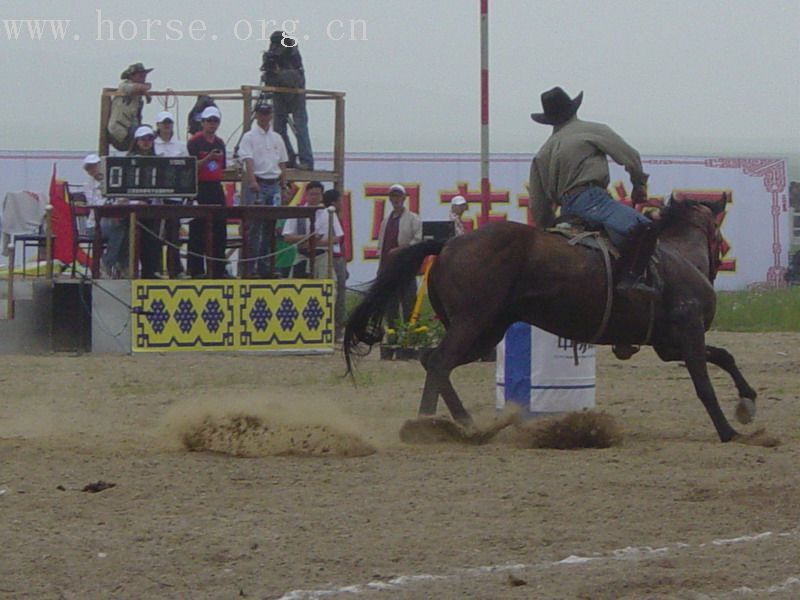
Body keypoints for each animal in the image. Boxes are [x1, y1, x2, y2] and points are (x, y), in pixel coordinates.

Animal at [344, 199, 756, 442]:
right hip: (472, 325)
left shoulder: (669, 345)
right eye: (718, 236)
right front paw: (729, 430)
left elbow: (725, 357)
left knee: (433, 361)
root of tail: (447, 245)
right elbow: (704, 383)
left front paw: (747, 402)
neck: (675, 259)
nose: (721, 258)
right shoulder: (689, 333)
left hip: (486, 332)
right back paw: (444, 426)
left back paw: (446, 424)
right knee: (440, 362)